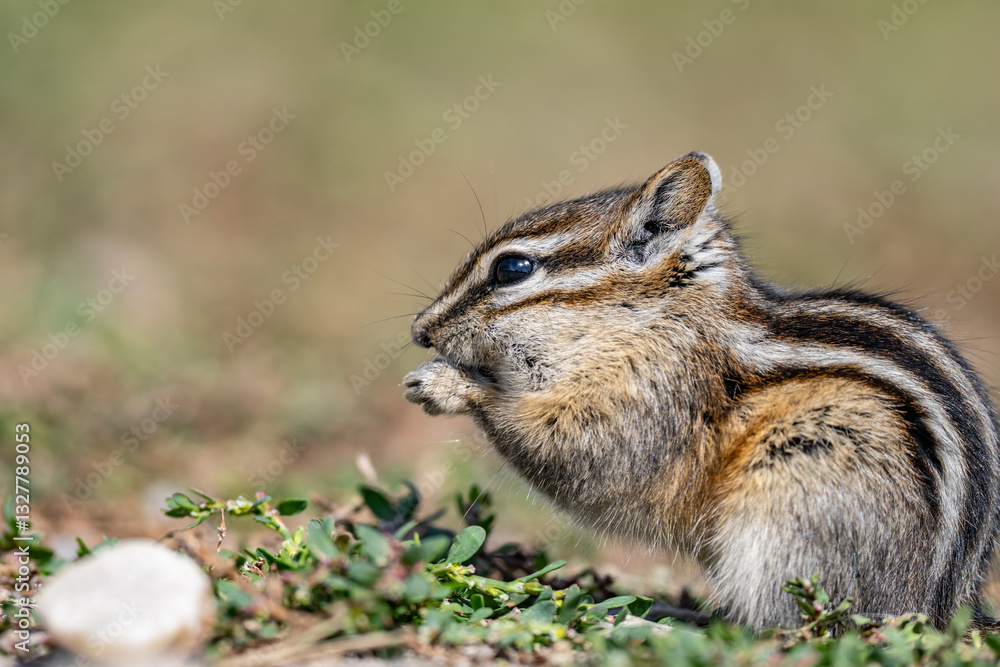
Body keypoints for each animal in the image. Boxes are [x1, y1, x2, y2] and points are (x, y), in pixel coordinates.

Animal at [402, 151, 1000, 631]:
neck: (654, 320)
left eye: (513, 268)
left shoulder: (653, 396)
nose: (420, 331)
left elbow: (580, 456)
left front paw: (446, 383)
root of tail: (941, 608)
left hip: (798, 497)